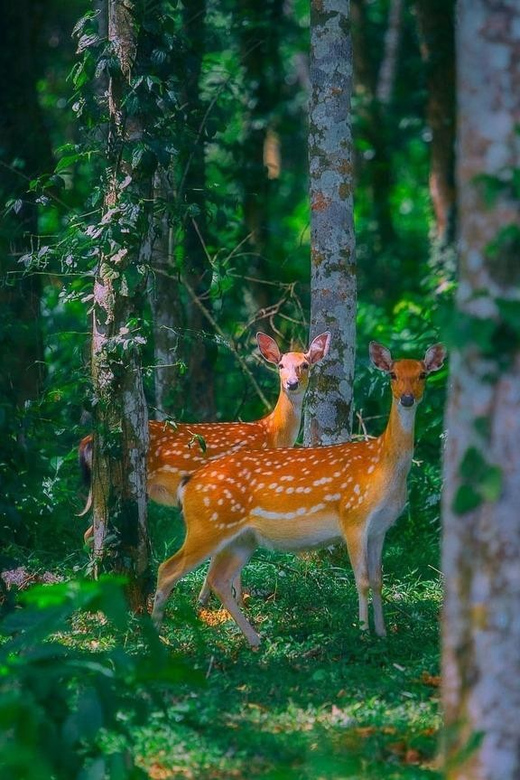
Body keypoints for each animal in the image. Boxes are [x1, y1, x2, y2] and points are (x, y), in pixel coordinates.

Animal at [151, 342, 446, 644]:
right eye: (392, 375)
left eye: (423, 374)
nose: (407, 399)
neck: (383, 468)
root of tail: (189, 482)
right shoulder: (354, 517)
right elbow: (362, 580)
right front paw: (363, 633)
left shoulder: (380, 528)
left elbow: (377, 581)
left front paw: (383, 633)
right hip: (206, 525)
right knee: (168, 569)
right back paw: (155, 635)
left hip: (241, 538)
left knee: (219, 579)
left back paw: (254, 639)